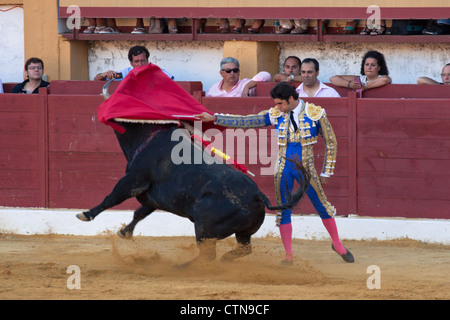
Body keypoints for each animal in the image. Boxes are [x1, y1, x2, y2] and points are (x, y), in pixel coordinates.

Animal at [77, 121, 310, 266]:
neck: (150, 138)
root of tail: (258, 195)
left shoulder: (133, 181)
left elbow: (111, 198)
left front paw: (85, 214)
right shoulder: (151, 198)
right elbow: (139, 213)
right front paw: (125, 232)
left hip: (204, 228)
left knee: (208, 255)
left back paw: (182, 267)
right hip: (242, 232)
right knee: (244, 249)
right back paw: (224, 259)